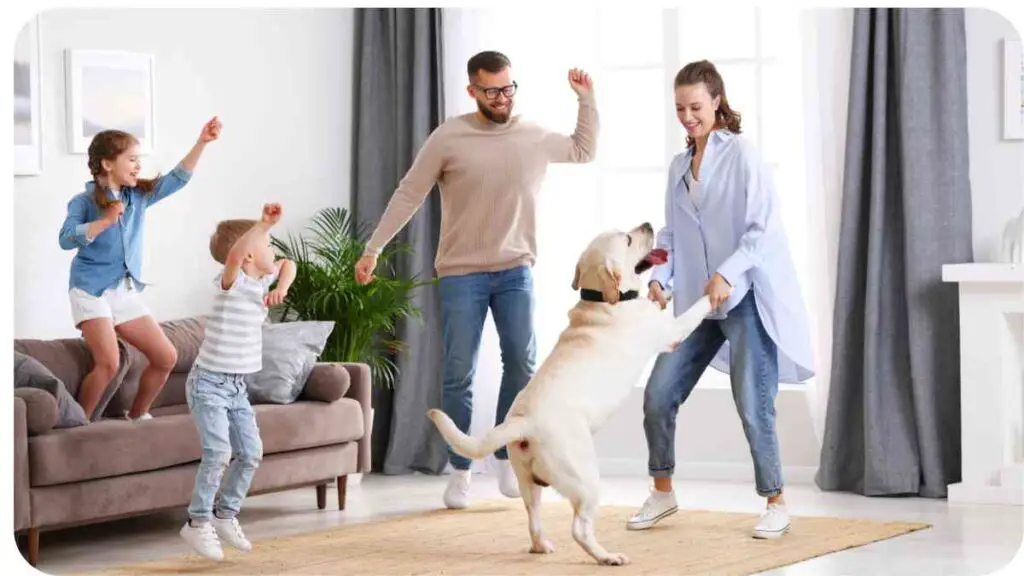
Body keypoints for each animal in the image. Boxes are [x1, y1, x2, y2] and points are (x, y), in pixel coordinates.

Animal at [428, 222, 708, 561]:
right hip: (585, 479)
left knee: (533, 519)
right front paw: (716, 290)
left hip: (528, 483)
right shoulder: (671, 333)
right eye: (628, 239)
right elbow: (696, 309)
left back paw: (542, 546)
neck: (603, 299)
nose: (648, 225)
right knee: (579, 528)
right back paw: (607, 556)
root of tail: (523, 422)